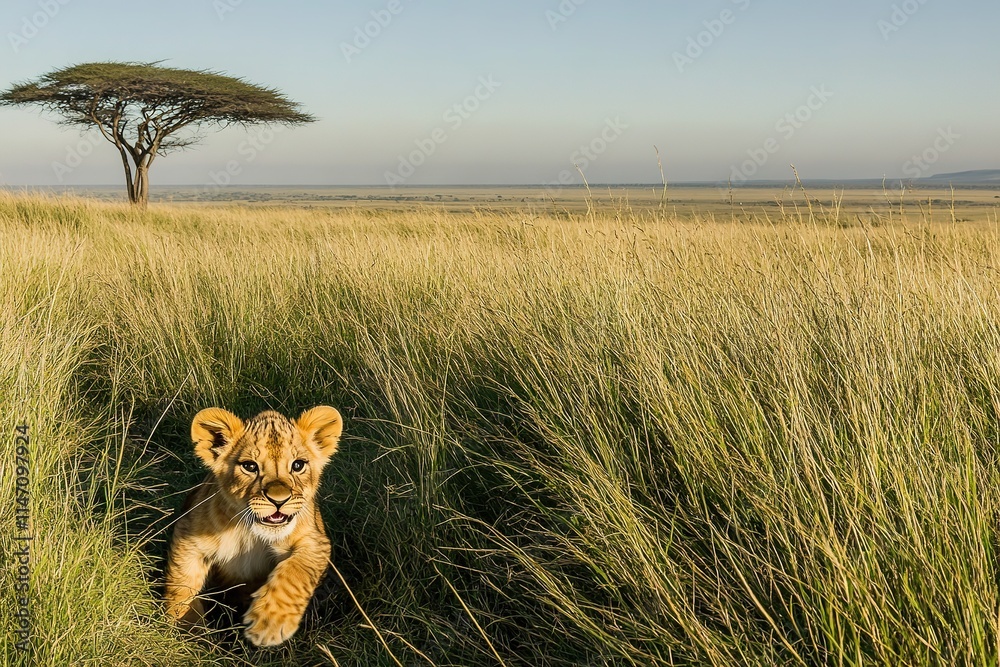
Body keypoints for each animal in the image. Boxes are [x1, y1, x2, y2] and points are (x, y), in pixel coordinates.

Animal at [164, 406, 343, 647]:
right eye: (250, 466)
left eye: (298, 465)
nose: (279, 500)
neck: (249, 532)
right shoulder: (188, 534)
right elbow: (182, 583)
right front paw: (187, 633)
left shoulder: (315, 540)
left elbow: (296, 572)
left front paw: (270, 622)